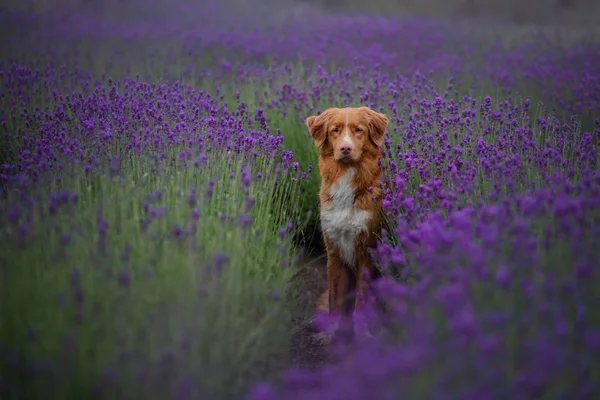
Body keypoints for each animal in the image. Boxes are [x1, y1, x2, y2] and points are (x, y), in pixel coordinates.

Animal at [304, 106, 390, 340]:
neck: (347, 175)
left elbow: (362, 299)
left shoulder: (367, 250)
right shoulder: (334, 251)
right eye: (335, 130)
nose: (345, 148)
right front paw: (332, 332)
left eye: (358, 130)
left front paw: (363, 334)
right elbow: (335, 298)